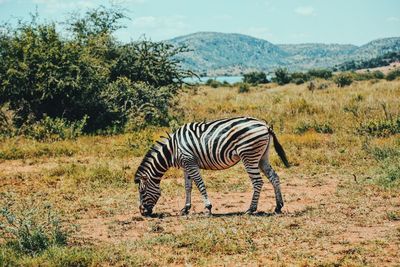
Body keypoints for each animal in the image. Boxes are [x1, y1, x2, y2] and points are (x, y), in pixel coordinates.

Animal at [134, 116, 288, 217]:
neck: (173, 149)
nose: (142, 213)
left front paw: (208, 208)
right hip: (262, 156)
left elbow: (200, 184)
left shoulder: (190, 162)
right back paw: (278, 207)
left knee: (257, 182)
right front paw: (185, 209)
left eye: (142, 191)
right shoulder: (185, 165)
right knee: (274, 177)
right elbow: (188, 187)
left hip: (249, 154)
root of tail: (264, 125)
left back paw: (251, 209)